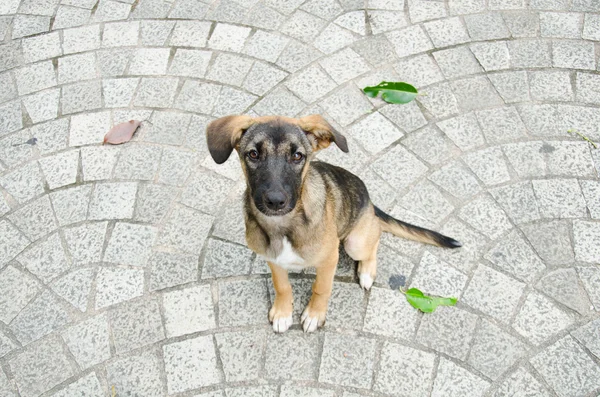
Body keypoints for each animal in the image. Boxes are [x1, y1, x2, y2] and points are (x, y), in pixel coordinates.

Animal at [206, 113, 460, 332]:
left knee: (374, 240)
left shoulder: (330, 259)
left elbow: (321, 288)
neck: (285, 225)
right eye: (253, 154)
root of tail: (370, 204)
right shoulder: (273, 259)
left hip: (354, 242)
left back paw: (367, 272)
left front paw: (314, 314)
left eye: (297, 156)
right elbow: (282, 285)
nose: (275, 201)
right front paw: (282, 313)